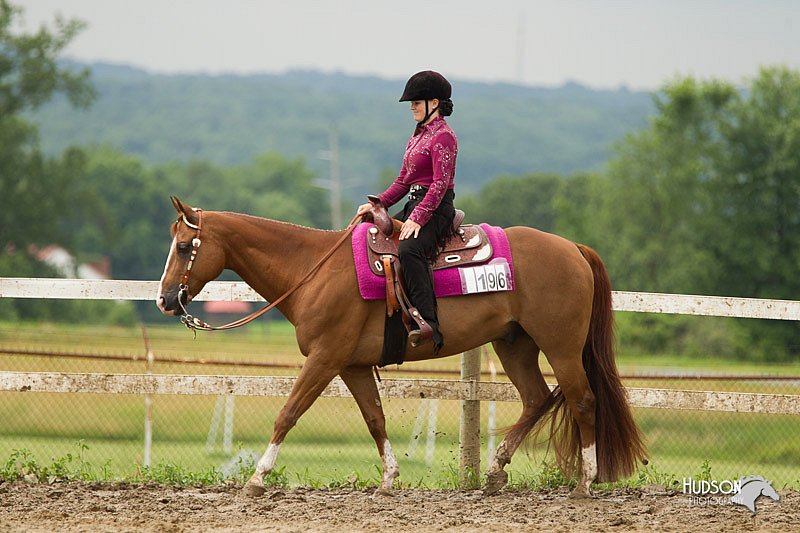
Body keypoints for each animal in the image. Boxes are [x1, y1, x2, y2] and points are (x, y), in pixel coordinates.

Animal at [158, 196, 648, 498]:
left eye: (183, 246)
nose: (165, 300)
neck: (312, 269)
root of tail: (574, 249)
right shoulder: (352, 365)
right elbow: (374, 419)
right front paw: (390, 479)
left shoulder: (324, 358)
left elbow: (288, 412)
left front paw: (257, 478)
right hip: (515, 345)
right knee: (535, 399)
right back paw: (494, 472)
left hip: (561, 347)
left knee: (582, 401)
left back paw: (585, 482)